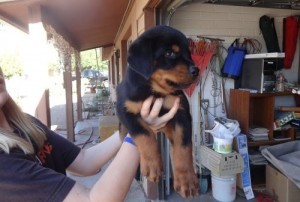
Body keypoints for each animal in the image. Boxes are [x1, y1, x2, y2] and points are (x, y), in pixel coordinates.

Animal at [116, 24, 199, 197]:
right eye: (169, 53)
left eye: (189, 53)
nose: (196, 70)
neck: (154, 91)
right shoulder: (125, 110)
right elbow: (144, 134)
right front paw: (152, 165)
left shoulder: (182, 114)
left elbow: (184, 147)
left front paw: (187, 180)